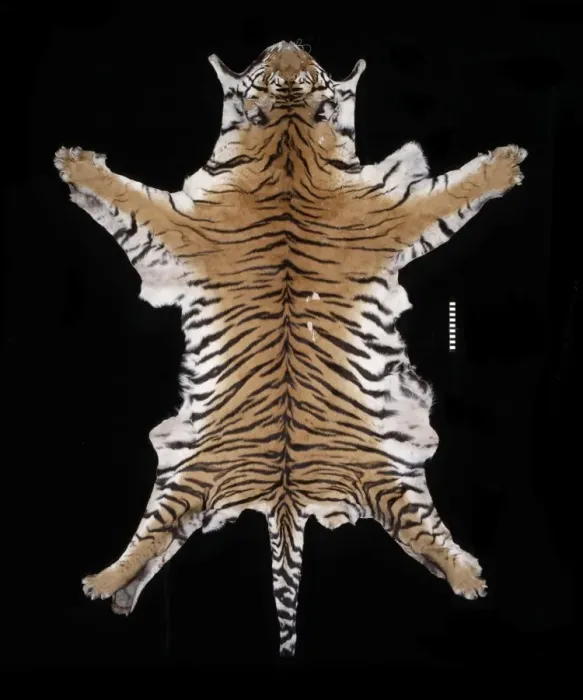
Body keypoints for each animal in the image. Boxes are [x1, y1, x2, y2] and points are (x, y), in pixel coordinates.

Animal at [54, 40, 527, 658]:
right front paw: (74, 166)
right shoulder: (181, 220)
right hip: (189, 477)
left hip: (373, 482)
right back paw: (106, 586)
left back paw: (469, 577)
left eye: (307, 69)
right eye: (268, 66)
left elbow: (451, 191)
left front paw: (505, 163)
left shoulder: (392, 213)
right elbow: (126, 195)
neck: (287, 143)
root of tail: (285, 501)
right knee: (151, 540)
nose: (286, 42)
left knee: (424, 538)